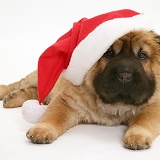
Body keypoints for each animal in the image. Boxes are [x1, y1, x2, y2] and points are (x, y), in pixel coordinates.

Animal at [0, 30, 160, 150]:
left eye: (142, 56)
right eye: (108, 54)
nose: (125, 75)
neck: (114, 104)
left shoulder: (153, 105)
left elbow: (143, 120)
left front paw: (137, 136)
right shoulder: (67, 101)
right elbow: (52, 116)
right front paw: (41, 130)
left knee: (35, 92)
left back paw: (13, 97)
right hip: (40, 77)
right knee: (20, 84)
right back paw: (7, 94)